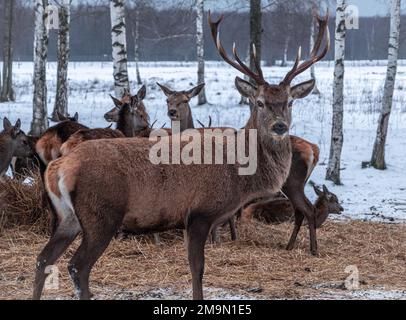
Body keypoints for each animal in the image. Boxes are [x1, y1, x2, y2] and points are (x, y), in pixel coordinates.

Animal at [32, 9, 330, 300]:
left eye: (289, 102)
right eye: (259, 102)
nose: (280, 126)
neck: (240, 176)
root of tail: (58, 167)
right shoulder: (200, 212)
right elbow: (197, 268)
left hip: (68, 217)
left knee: (43, 259)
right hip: (101, 214)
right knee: (77, 266)